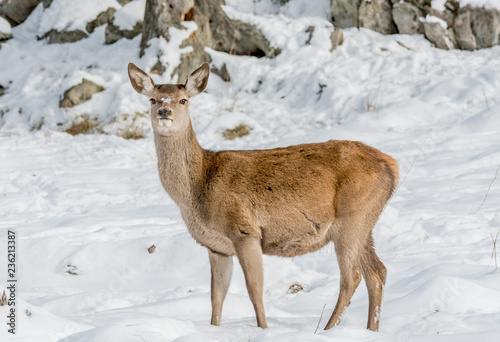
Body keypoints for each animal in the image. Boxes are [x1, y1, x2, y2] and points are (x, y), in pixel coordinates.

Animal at [128, 61, 398, 332]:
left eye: (183, 100)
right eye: (152, 99)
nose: (164, 111)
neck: (197, 188)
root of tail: (392, 166)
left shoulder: (245, 231)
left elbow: (254, 289)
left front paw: (264, 329)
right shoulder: (216, 246)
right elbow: (216, 296)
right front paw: (214, 329)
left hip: (352, 219)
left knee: (352, 276)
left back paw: (326, 329)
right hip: (365, 222)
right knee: (378, 272)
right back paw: (370, 329)